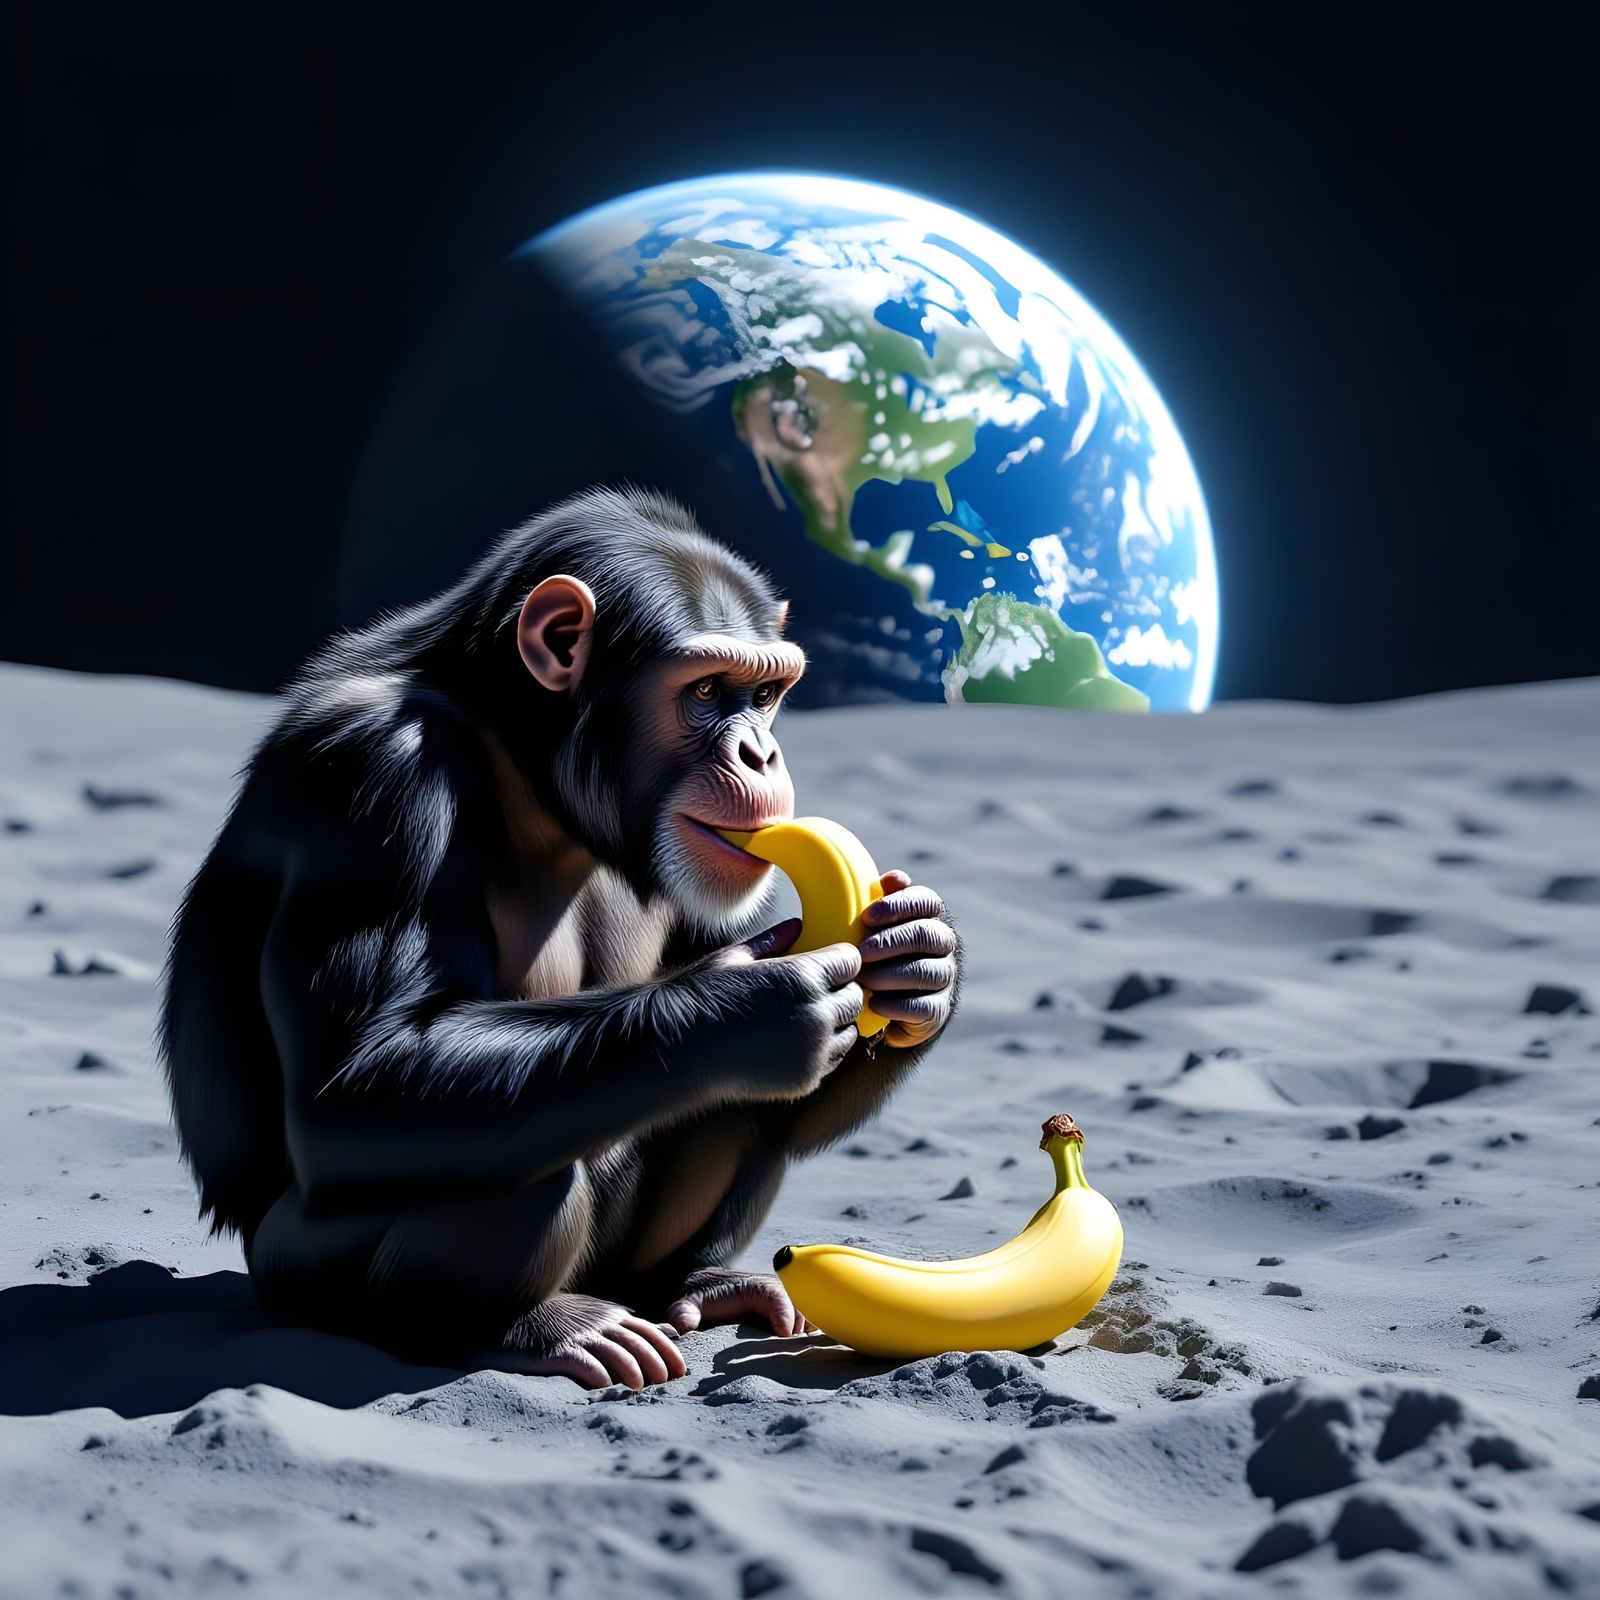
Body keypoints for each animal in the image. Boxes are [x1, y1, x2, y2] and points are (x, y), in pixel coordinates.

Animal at [158, 484, 962, 1389]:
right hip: (299, 1278)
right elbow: (355, 1083)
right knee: (512, 1172)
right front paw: (746, 1008)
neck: (527, 760)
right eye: (706, 691)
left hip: (626, 1264)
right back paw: (528, 1328)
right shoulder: (375, 777)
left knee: (730, 1110)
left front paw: (921, 964)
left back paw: (696, 1283)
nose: (760, 751)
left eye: (764, 695)